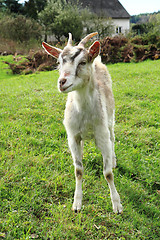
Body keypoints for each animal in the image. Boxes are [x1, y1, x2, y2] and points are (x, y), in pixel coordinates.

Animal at [42, 32, 122, 214]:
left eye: (82, 62)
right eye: (59, 62)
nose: (62, 82)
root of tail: (97, 61)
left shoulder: (102, 135)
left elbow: (108, 173)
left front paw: (117, 204)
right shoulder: (72, 137)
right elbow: (78, 170)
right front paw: (77, 203)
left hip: (110, 120)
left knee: (113, 139)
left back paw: (114, 160)